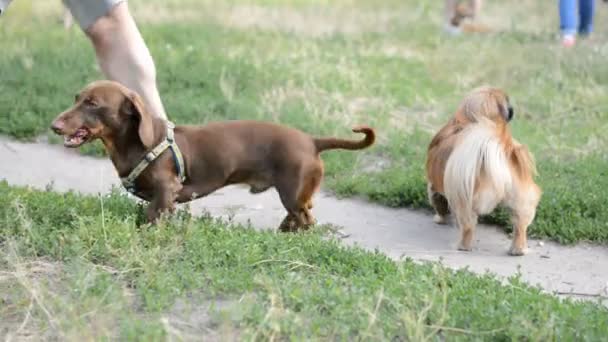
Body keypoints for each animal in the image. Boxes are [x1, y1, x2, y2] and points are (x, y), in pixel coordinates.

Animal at [428, 87, 540, 255]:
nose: (512, 109)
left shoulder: (434, 187)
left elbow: (438, 202)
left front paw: (440, 219)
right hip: (521, 200)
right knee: (520, 225)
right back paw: (518, 249)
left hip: (464, 201)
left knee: (468, 227)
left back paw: (463, 246)